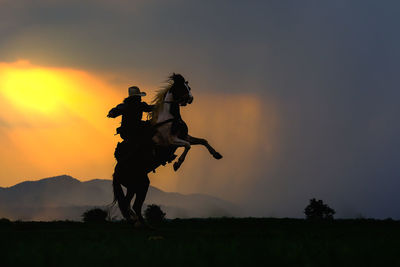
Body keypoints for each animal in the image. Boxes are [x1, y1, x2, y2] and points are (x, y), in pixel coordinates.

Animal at [112, 74, 222, 227]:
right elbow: (188, 146)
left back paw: (137, 222)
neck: (169, 119)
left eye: (189, 87)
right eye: (181, 87)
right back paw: (141, 223)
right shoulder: (170, 141)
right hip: (137, 185)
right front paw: (177, 164)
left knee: (129, 204)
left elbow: (202, 141)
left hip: (136, 185)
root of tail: (115, 172)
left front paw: (216, 154)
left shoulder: (184, 136)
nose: (191, 99)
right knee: (132, 205)